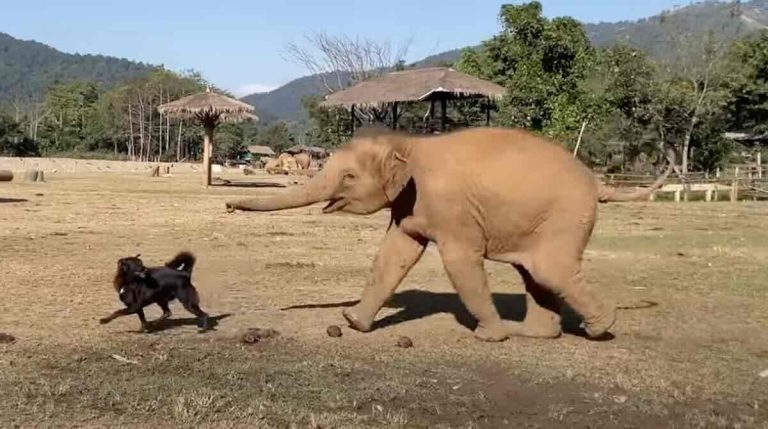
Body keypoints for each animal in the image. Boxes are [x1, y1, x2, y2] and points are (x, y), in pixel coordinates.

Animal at [226, 127, 622, 342]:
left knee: (549, 271)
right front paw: (354, 323)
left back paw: (599, 328)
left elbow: (461, 263)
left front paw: (488, 337)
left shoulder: (453, 210)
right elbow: (393, 256)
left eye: (349, 177)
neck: (406, 143)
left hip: (565, 218)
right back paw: (535, 334)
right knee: (534, 274)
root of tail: (598, 183)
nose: (228, 206)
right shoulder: (408, 206)